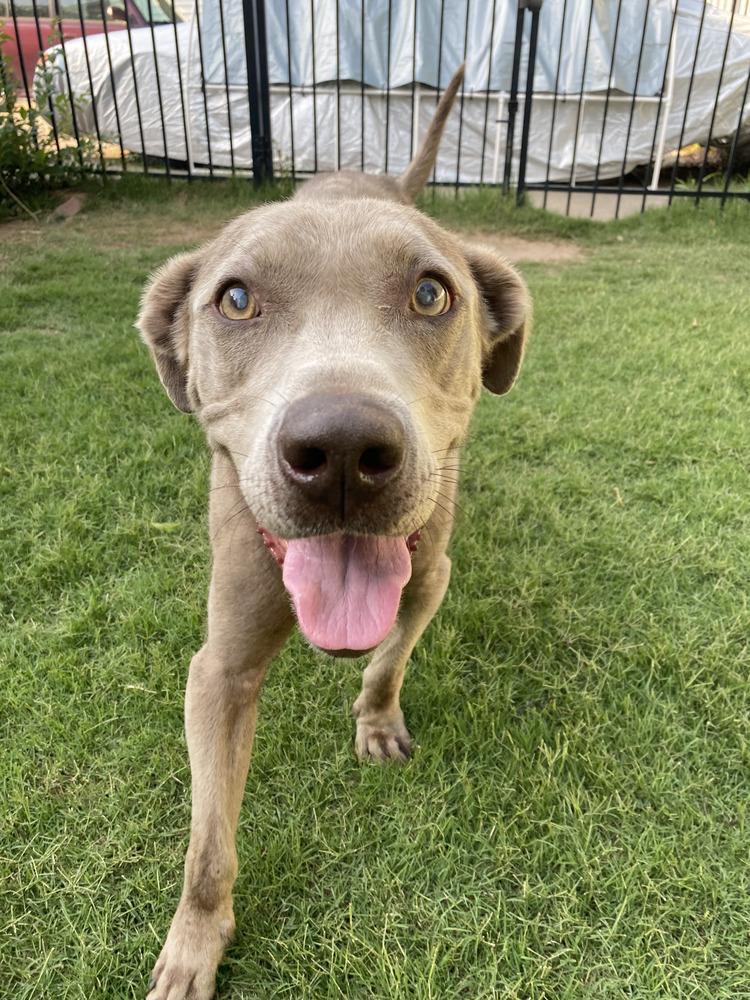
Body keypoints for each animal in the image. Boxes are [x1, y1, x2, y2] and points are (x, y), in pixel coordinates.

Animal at [138, 66, 532, 996]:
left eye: (430, 292)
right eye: (235, 299)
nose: (345, 450)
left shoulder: (429, 576)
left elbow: (389, 657)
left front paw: (376, 721)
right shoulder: (220, 670)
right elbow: (208, 845)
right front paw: (195, 943)